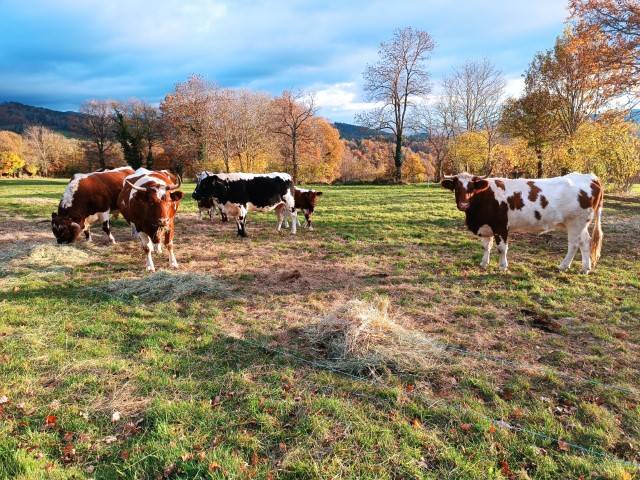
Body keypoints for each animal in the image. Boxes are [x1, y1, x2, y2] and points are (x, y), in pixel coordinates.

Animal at [441, 172, 604, 274]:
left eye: (471, 187)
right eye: (456, 187)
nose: (463, 205)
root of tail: (590, 177)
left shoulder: (501, 227)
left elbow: (502, 248)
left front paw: (503, 266)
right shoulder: (486, 227)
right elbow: (486, 246)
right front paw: (484, 264)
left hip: (576, 222)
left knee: (574, 244)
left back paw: (563, 266)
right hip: (579, 224)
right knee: (585, 242)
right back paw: (585, 268)